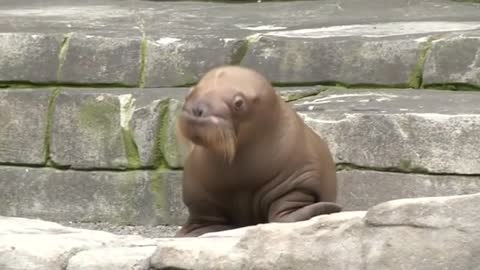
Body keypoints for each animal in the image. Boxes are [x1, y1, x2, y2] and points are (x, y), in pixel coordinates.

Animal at [176, 65, 342, 236]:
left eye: (239, 103)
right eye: (189, 93)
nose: (198, 109)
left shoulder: (298, 180)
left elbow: (287, 209)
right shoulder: (199, 195)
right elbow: (204, 216)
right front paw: (195, 231)